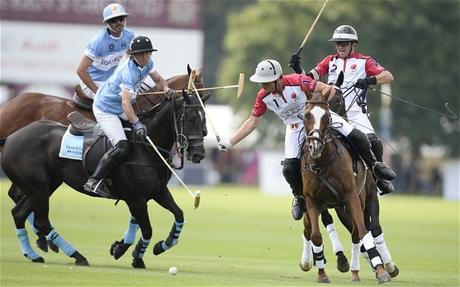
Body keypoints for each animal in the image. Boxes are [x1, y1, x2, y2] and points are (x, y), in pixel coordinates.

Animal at [298, 90, 392, 286]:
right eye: (306, 115)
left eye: (327, 117)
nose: (315, 146)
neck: (322, 162)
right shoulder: (312, 200)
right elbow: (316, 234)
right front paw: (322, 274)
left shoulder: (351, 196)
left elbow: (365, 231)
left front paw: (381, 271)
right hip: (333, 206)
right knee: (312, 229)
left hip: (362, 199)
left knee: (368, 229)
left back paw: (382, 266)